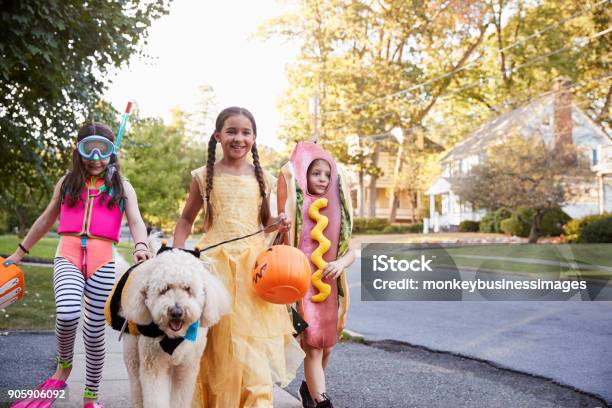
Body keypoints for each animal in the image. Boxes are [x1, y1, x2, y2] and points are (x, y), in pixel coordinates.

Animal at [118, 249, 231, 408]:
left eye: (187, 289)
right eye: (164, 289)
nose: (176, 312)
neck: (174, 338)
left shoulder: (186, 368)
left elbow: (180, 397)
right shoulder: (154, 366)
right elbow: (155, 398)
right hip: (132, 353)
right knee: (136, 384)